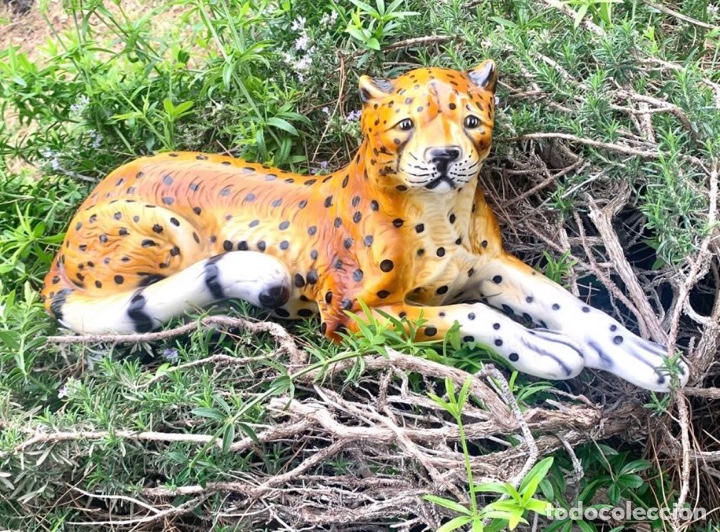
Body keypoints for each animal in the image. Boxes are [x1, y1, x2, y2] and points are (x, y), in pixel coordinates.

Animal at [41, 60, 688, 392]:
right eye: (405, 124)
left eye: (471, 121)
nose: (446, 158)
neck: (441, 214)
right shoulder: (348, 314)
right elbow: (470, 316)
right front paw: (542, 349)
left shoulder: (493, 267)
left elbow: (573, 307)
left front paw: (647, 359)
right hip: (160, 230)